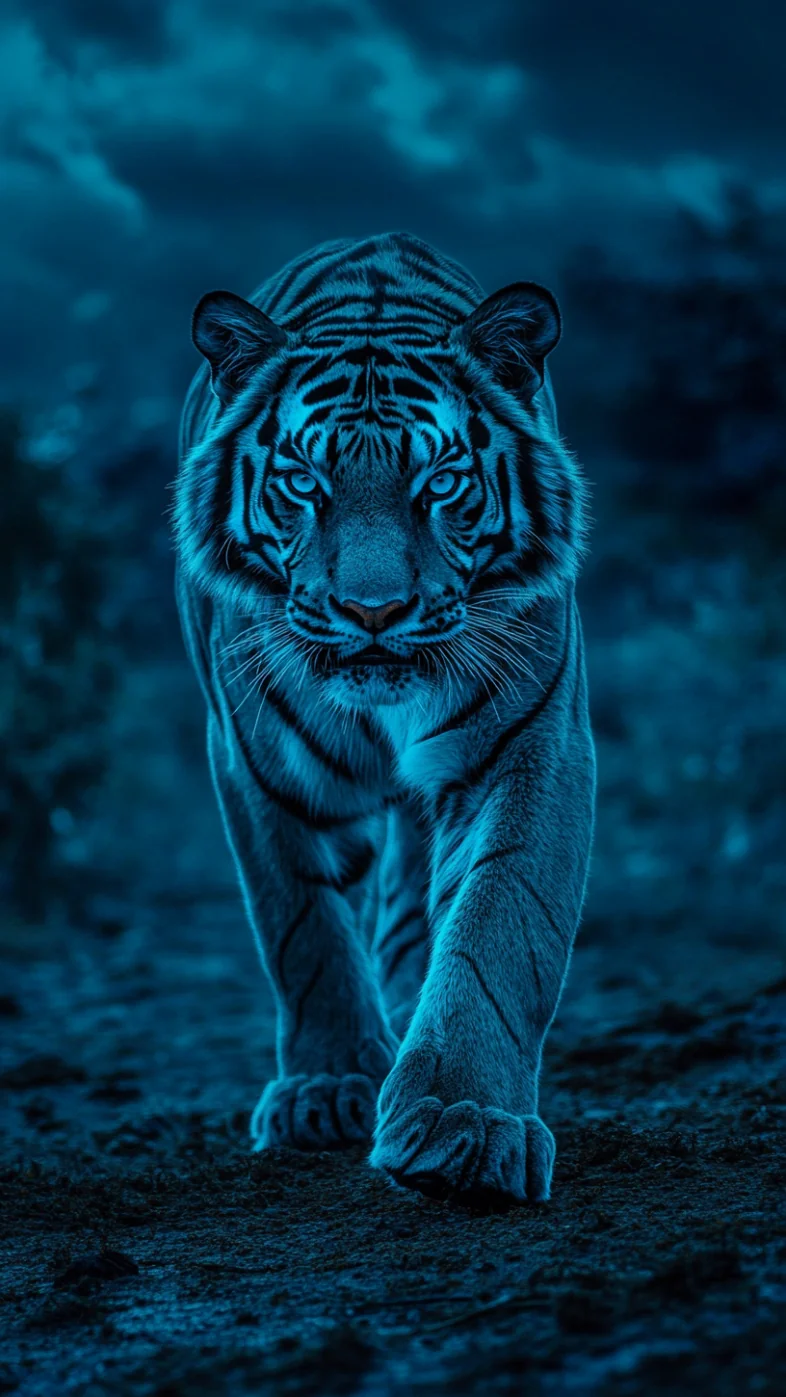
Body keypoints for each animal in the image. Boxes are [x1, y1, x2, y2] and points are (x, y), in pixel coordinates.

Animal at [174, 231, 595, 1205]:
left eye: (439, 483)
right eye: (303, 482)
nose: (373, 611)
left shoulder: (534, 747)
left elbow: (497, 924)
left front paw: (464, 1122)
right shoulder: (255, 761)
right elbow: (303, 929)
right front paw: (327, 1087)